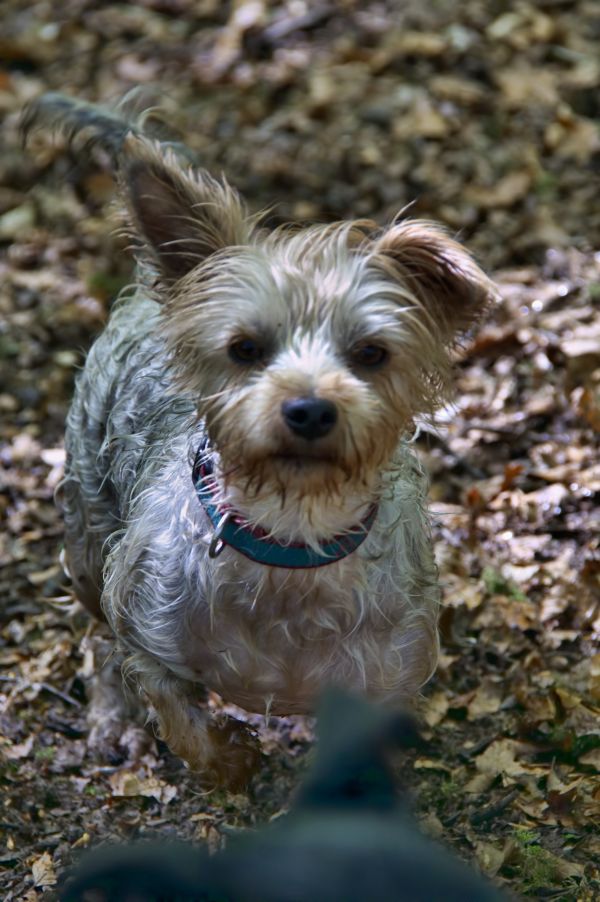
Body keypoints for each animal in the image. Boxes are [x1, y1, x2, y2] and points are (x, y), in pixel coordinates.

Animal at [24, 95, 492, 788]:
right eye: (244, 348)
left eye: (371, 354)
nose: (309, 409)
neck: (289, 539)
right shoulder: (144, 625)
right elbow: (179, 715)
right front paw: (230, 758)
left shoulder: (383, 681)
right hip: (88, 532)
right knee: (95, 638)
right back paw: (112, 721)